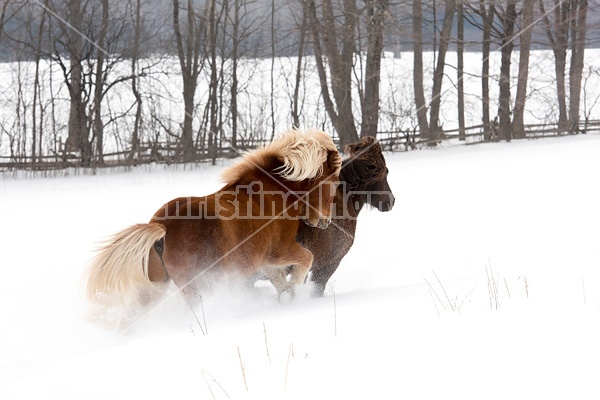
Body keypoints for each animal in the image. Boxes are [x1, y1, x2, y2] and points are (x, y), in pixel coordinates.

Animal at [88, 128, 342, 306]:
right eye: (333, 182)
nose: (325, 221)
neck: (272, 193)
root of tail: (162, 226)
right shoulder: (280, 250)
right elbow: (306, 259)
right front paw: (296, 292)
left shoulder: (265, 260)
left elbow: (278, 278)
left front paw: (286, 296)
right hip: (198, 286)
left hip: (153, 288)